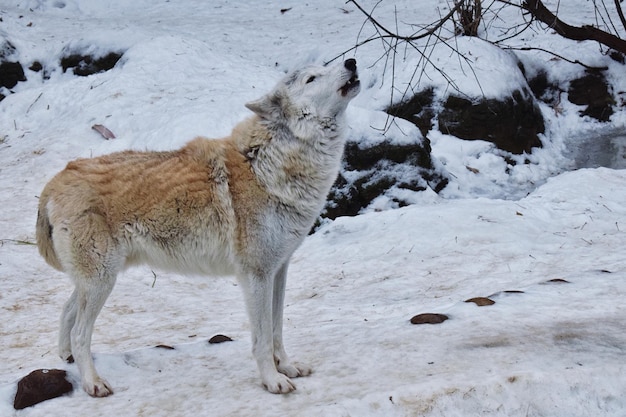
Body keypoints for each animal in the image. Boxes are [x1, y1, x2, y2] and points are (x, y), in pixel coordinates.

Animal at [36, 58, 358, 396]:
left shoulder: (279, 269)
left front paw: (287, 367)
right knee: (80, 333)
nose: (352, 62)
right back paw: (93, 383)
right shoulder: (256, 275)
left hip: (99, 278)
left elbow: (277, 330)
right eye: (312, 78)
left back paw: (67, 359)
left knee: (67, 312)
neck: (269, 164)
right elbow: (262, 339)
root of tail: (56, 180)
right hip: (102, 280)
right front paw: (273, 381)